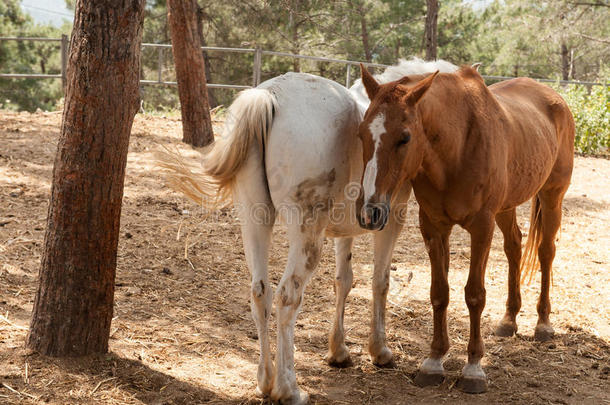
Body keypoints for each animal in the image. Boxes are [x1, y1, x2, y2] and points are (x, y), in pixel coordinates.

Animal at [157, 57, 456, 404]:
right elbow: (379, 281)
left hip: (255, 221)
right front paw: (379, 350)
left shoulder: (347, 228)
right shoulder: (389, 219)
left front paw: (338, 351)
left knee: (260, 292)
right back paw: (289, 388)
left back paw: (266, 380)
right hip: (306, 236)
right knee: (287, 296)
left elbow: (344, 281)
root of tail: (268, 95)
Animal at [354, 65, 572, 392]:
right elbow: (439, 292)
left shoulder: (481, 227)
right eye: (361, 133)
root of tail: (554, 98)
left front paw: (473, 367)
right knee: (514, 247)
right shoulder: (433, 227)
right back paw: (509, 319)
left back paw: (543, 323)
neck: (456, 148)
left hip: (552, 195)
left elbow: (474, 295)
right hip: (506, 208)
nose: (370, 211)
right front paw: (433, 362)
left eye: (404, 137)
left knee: (546, 252)